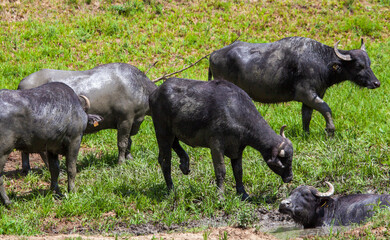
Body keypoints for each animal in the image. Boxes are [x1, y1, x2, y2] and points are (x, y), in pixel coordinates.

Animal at [16, 62, 157, 172]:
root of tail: (21, 85)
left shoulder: (133, 121)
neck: (139, 86)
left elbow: (129, 141)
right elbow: (122, 143)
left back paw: (26, 168)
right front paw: (121, 162)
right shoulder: (125, 119)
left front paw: (130, 158)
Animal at [149, 78, 292, 200]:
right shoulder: (216, 146)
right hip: (162, 131)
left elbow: (238, 171)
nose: (290, 177)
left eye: (290, 159)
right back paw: (171, 189)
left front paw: (243, 194)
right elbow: (221, 170)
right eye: (283, 160)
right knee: (164, 160)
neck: (235, 112)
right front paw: (221, 196)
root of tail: (155, 93)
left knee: (175, 144)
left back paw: (184, 163)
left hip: (172, 132)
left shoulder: (238, 148)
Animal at [210, 37, 380, 135]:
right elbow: (326, 108)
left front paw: (306, 133)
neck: (321, 62)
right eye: (358, 65)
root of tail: (213, 55)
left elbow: (307, 115)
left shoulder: (312, 97)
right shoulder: (307, 93)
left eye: (369, 63)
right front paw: (330, 130)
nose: (376, 83)